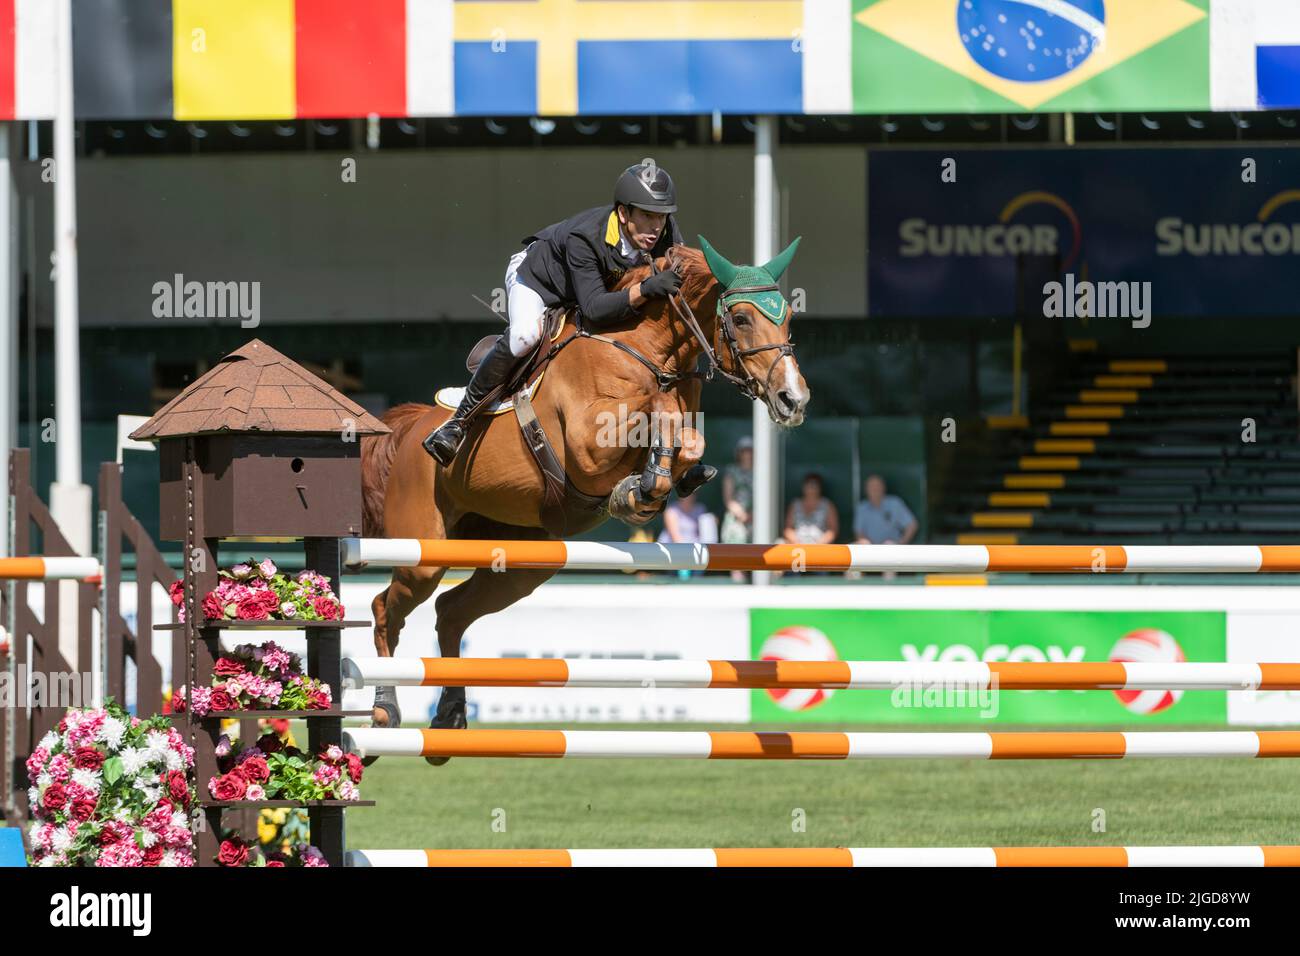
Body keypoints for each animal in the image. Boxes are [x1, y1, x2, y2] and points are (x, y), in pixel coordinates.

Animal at [356, 239, 800, 764]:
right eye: (744, 318)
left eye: (789, 315)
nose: (793, 399)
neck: (648, 350)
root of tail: (407, 429)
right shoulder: (590, 446)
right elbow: (655, 412)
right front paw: (638, 489)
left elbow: (686, 440)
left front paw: (648, 486)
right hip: (423, 552)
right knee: (386, 609)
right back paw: (384, 716)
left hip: (522, 561)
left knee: (450, 612)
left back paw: (448, 722)